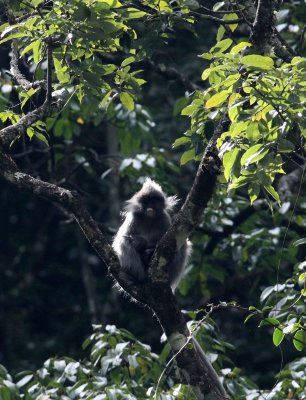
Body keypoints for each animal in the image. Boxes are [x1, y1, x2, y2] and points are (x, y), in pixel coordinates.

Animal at [112, 180, 227, 398]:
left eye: (155, 201)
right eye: (146, 200)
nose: (150, 206)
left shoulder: (165, 220)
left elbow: (168, 242)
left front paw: (148, 248)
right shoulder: (133, 219)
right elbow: (125, 237)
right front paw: (141, 246)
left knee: (183, 245)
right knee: (124, 241)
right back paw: (138, 274)